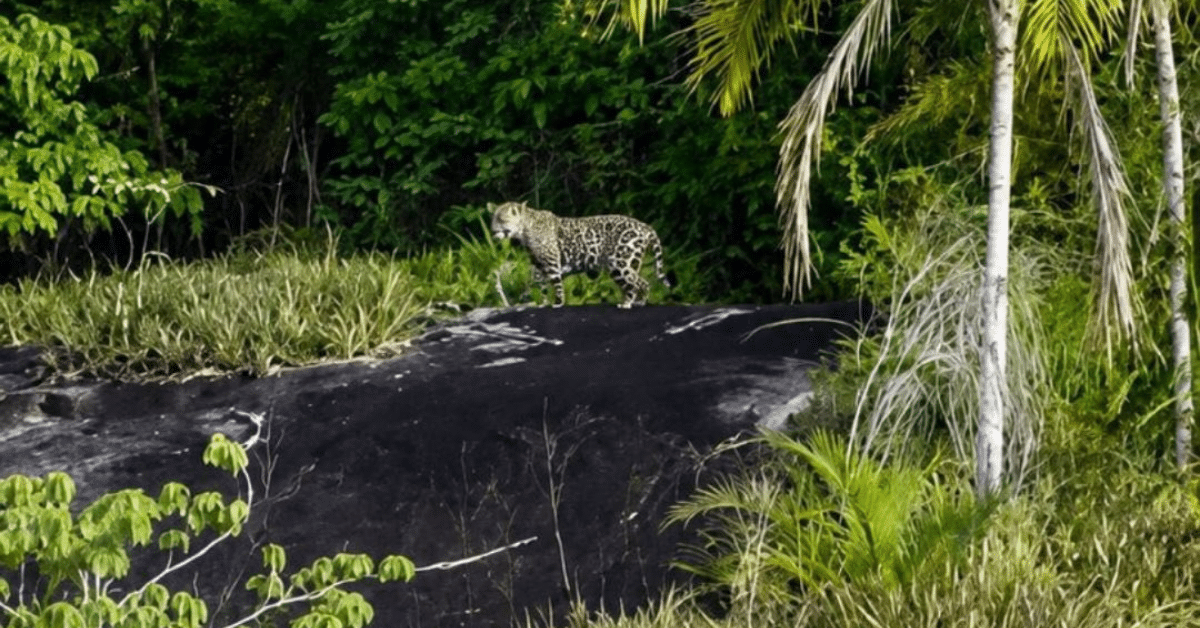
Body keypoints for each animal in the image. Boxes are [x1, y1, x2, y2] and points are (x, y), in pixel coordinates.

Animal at [488, 201, 670, 308]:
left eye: (502, 219)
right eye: (493, 219)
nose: (492, 230)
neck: (524, 231)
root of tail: (646, 227)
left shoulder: (552, 262)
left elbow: (556, 284)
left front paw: (558, 303)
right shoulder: (537, 264)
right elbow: (539, 284)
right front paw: (542, 302)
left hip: (621, 263)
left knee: (640, 282)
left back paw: (633, 303)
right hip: (624, 265)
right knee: (634, 284)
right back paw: (632, 301)